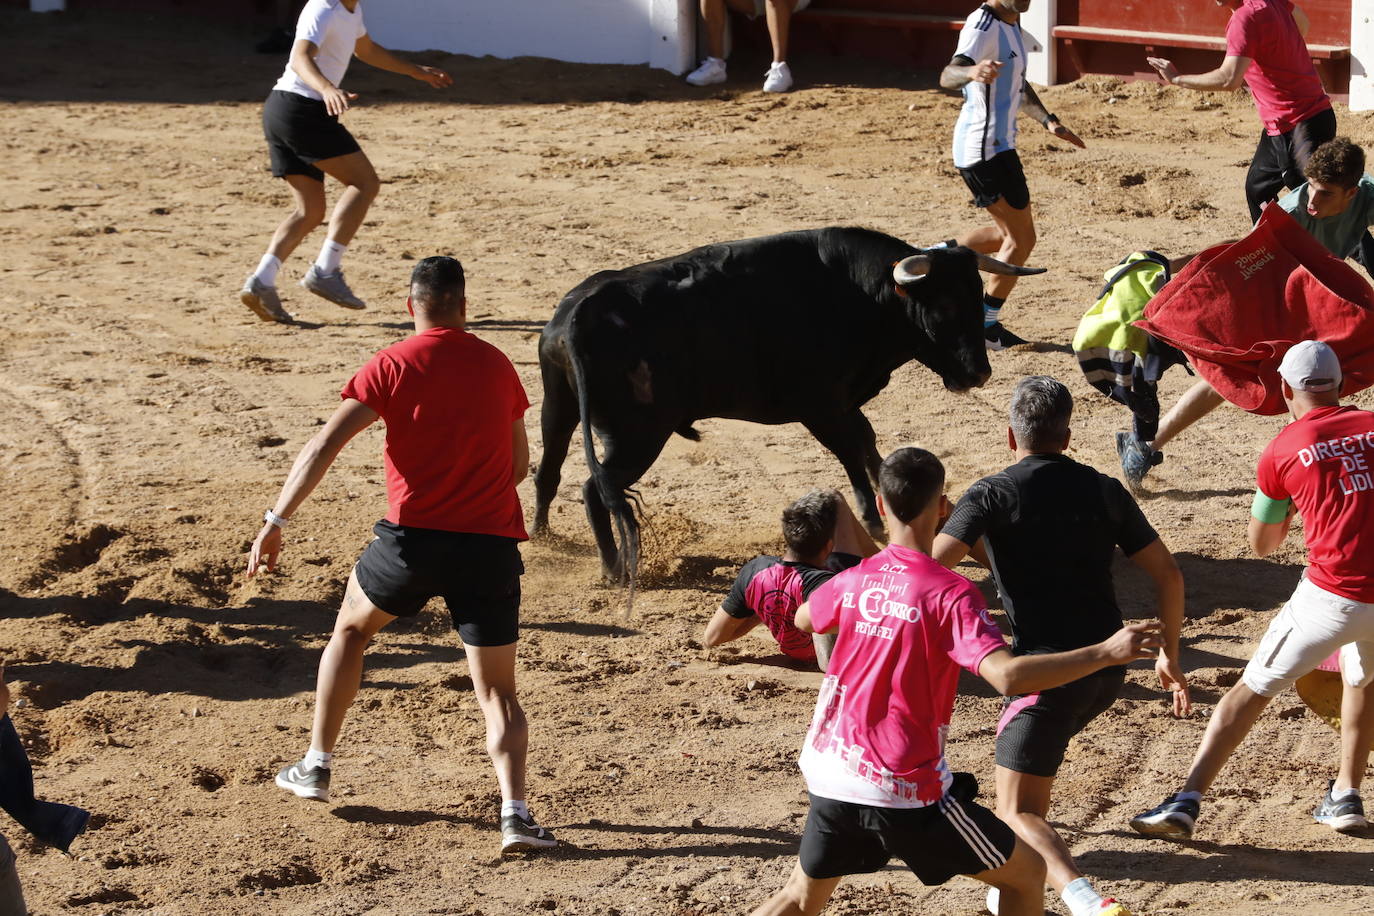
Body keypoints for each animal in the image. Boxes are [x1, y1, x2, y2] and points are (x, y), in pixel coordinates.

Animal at [527, 227, 1038, 587]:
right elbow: (851, 450)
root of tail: (577, 314)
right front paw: (872, 518)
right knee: (595, 487)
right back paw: (614, 568)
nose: (978, 374)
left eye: (976, 295)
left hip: (559, 409)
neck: (858, 294)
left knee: (549, 471)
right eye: (944, 304)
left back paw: (541, 536)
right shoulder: (822, 406)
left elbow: (867, 444)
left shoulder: (842, 402)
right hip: (638, 434)